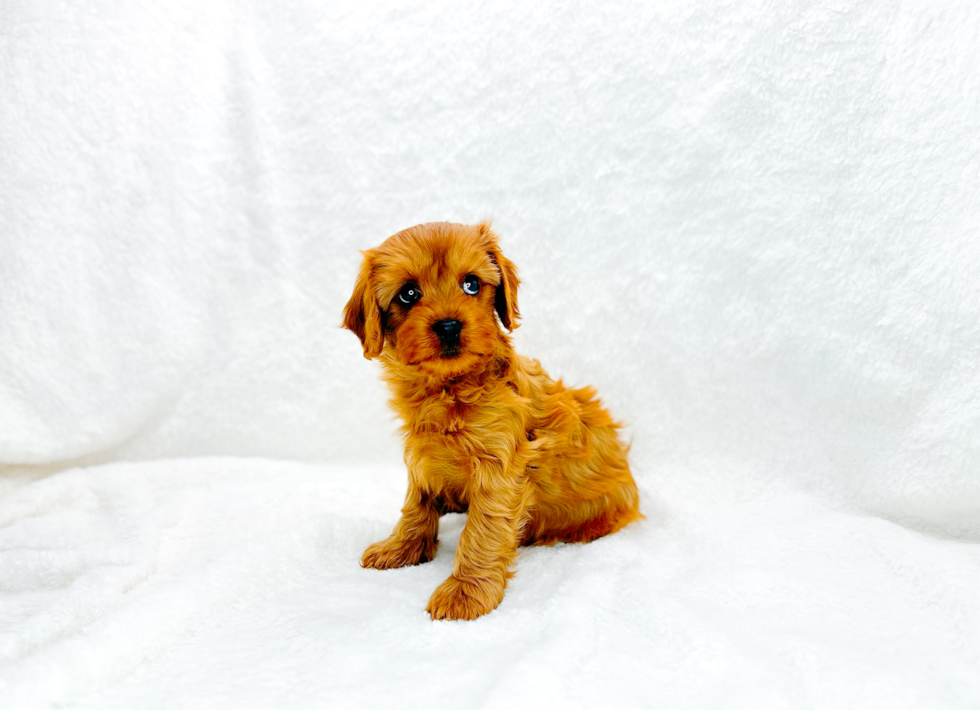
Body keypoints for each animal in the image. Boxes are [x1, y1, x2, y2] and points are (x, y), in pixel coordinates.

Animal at [340, 222, 640, 624]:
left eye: (471, 285)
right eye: (408, 294)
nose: (449, 326)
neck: (449, 389)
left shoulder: (498, 469)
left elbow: (483, 531)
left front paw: (467, 591)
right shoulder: (421, 455)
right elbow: (416, 505)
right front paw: (402, 546)